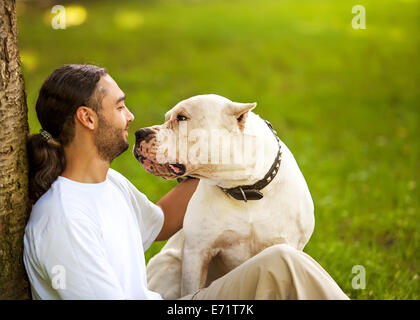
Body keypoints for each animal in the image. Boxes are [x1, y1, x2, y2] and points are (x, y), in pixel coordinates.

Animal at [133, 94, 314, 298]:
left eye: (181, 118)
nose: (139, 133)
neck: (244, 190)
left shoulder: (288, 245)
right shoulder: (197, 253)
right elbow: (191, 289)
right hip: (170, 266)